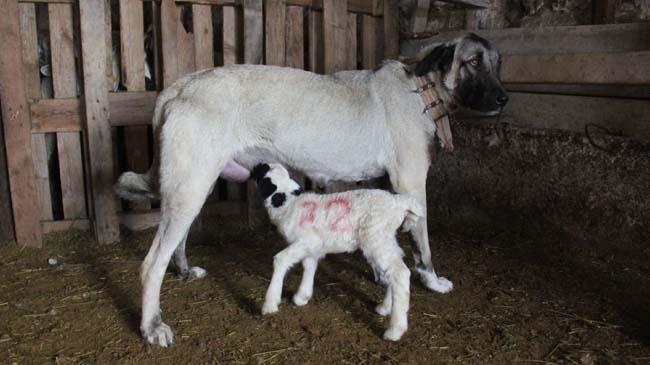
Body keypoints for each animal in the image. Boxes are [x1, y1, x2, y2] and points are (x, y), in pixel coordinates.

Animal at [249, 164, 426, 340]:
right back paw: (385, 307)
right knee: (396, 268)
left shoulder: (307, 240)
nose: (252, 169)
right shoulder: (313, 245)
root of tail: (398, 202)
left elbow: (280, 259)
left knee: (400, 273)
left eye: (259, 172)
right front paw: (302, 296)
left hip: (376, 238)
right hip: (385, 238)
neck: (289, 203)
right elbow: (309, 265)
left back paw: (395, 330)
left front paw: (270, 304)